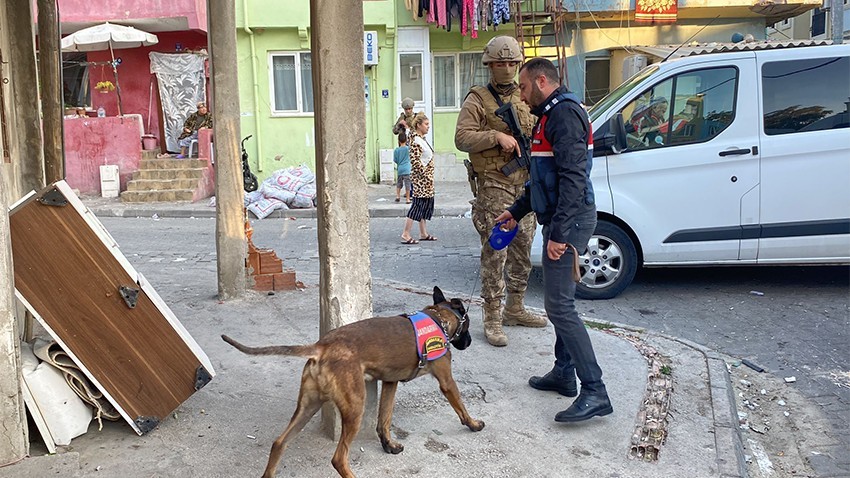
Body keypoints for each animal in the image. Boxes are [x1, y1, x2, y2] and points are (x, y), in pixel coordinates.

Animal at [220, 286, 484, 476]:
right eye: (468, 325)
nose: (469, 343)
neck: (439, 318)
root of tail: (321, 347)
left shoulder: (390, 384)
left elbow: (384, 419)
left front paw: (389, 444)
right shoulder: (446, 379)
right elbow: (460, 405)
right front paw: (472, 424)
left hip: (307, 407)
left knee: (278, 443)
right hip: (354, 407)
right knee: (338, 459)